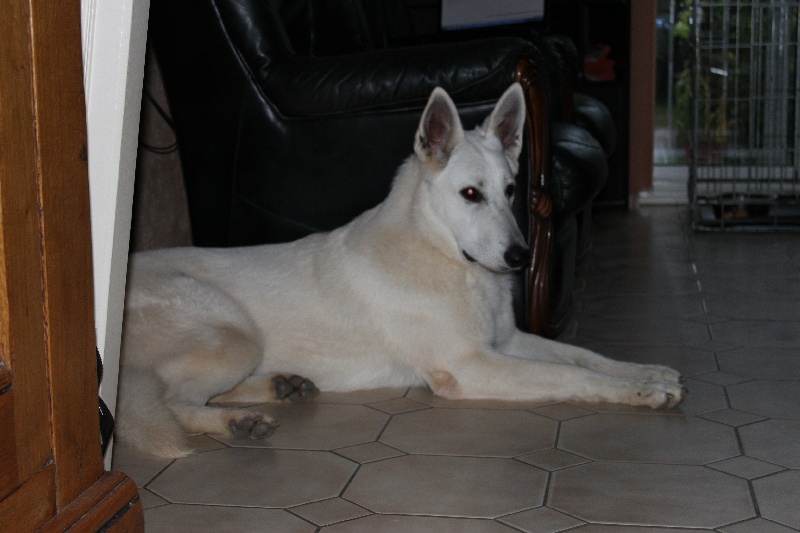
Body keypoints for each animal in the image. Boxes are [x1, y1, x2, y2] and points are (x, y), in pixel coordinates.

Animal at [115, 84, 684, 458]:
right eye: (470, 194)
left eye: (509, 191)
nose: (521, 258)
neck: (442, 255)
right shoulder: (472, 365)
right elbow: (572, 374)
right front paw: (642, 392)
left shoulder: (505, 341)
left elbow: (587, 356)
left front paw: (648, 372)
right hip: (233, 333)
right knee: (172, 401)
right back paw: (236, 421)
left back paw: (281, 386)